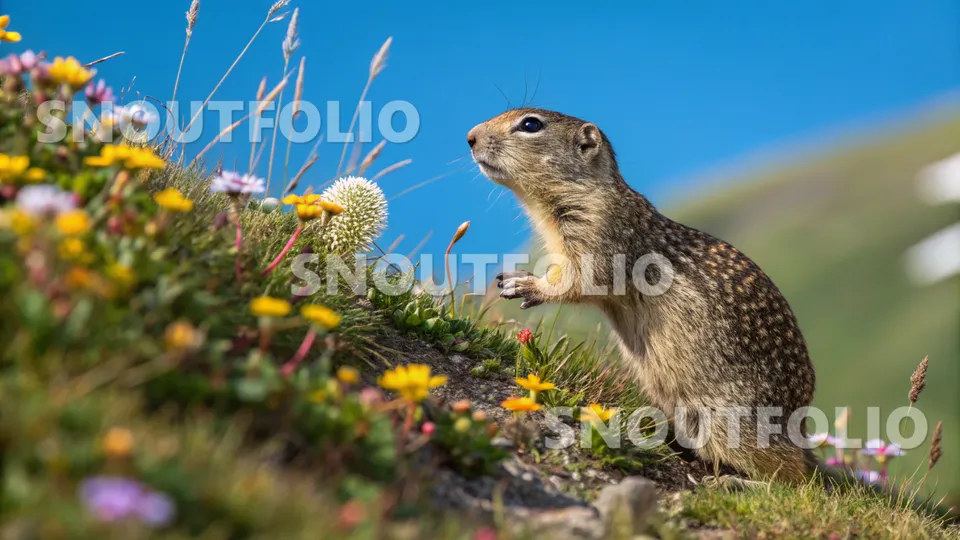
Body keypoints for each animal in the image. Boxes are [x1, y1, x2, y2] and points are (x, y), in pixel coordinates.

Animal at [467, 107, 820, 484]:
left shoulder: (600, 232)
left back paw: (738, 482)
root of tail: (798, 422)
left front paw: (526, 284)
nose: (470, 137)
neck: (580, 190)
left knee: (793, 475)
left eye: (531, 124)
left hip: (729, 417)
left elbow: (581, 278)